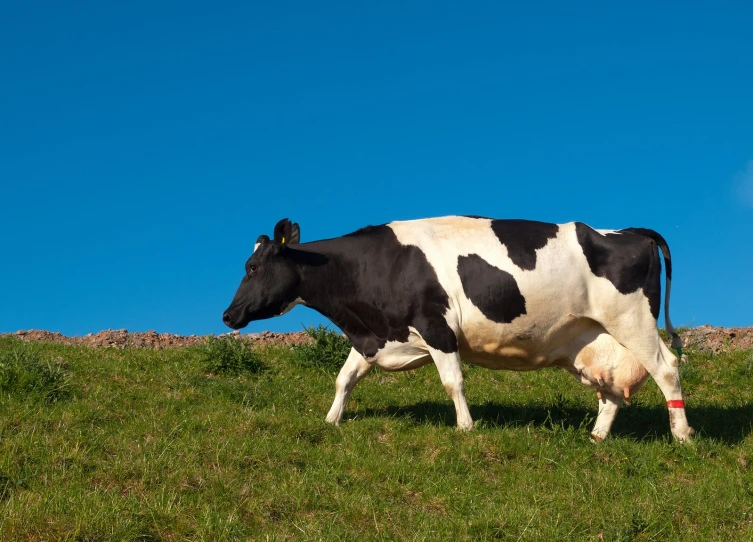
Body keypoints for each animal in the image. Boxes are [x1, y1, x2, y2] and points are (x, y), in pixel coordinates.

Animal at [220, 216, 692, 442]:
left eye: (253, 266)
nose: (227, 315)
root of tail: (629, 231)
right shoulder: (376, 336)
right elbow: (344, 378)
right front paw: (331, 420)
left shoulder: (436, 326)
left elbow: (453, 381)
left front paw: (465, 428)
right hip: (591, 338)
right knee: (611, 389)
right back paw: (597, 437)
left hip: (633, 320)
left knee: (667, 369)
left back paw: (682, 436)